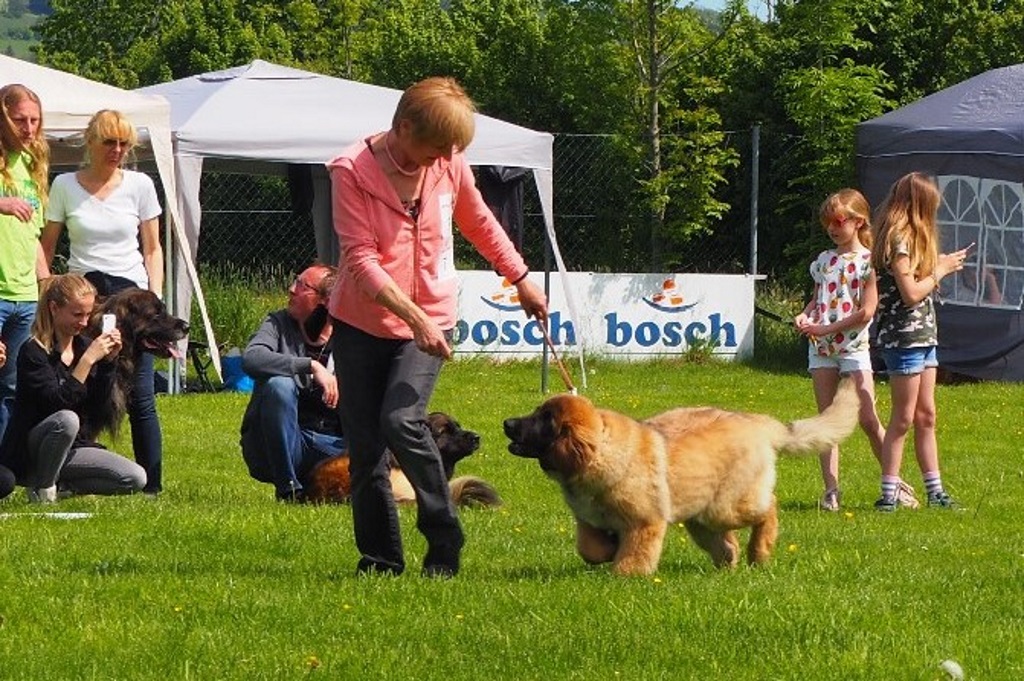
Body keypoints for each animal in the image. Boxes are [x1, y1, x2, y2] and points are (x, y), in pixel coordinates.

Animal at [501, 382, 856, 573]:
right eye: (536, 412)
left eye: (544, 420)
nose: (507, 423)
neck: (601, 449)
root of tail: (755, 422)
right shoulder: (588, 521)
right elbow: (590, 549)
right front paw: (607, 552)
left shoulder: (644, 523)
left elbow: (635, 555)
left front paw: (626, 574)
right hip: (702, 516)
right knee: (725, 542)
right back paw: (729, 562)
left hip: (727, 506)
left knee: (769, 508)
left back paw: (759, 552)